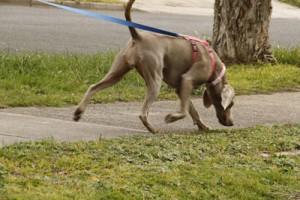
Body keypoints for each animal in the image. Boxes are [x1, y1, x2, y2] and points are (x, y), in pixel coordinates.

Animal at [72, 0, 234, 134]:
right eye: (231, 104)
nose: (231, 123)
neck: (214, 66)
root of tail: (138, 37)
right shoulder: (187, 79)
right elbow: (184, 111)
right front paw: (170, 118)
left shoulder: (180, 87)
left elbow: (192, 110)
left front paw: (203, 127)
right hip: (155, 76)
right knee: (143, 113)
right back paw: (153, 129)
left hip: (118, 71)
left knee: (93, 86)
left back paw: (78, 112)